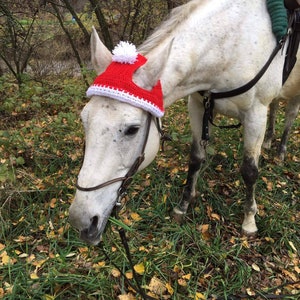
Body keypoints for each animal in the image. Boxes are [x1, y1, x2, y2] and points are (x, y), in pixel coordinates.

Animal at [68, 0, 292, 246]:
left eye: (132, 130)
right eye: (84, 120)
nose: (81, 221)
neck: (232, 43)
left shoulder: (255, 114)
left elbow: (250, 171)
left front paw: (249, 221)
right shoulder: (197, 105)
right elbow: (195, 159)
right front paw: (183, 206)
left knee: (290, 117)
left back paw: (281, 150)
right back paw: (270, 141)